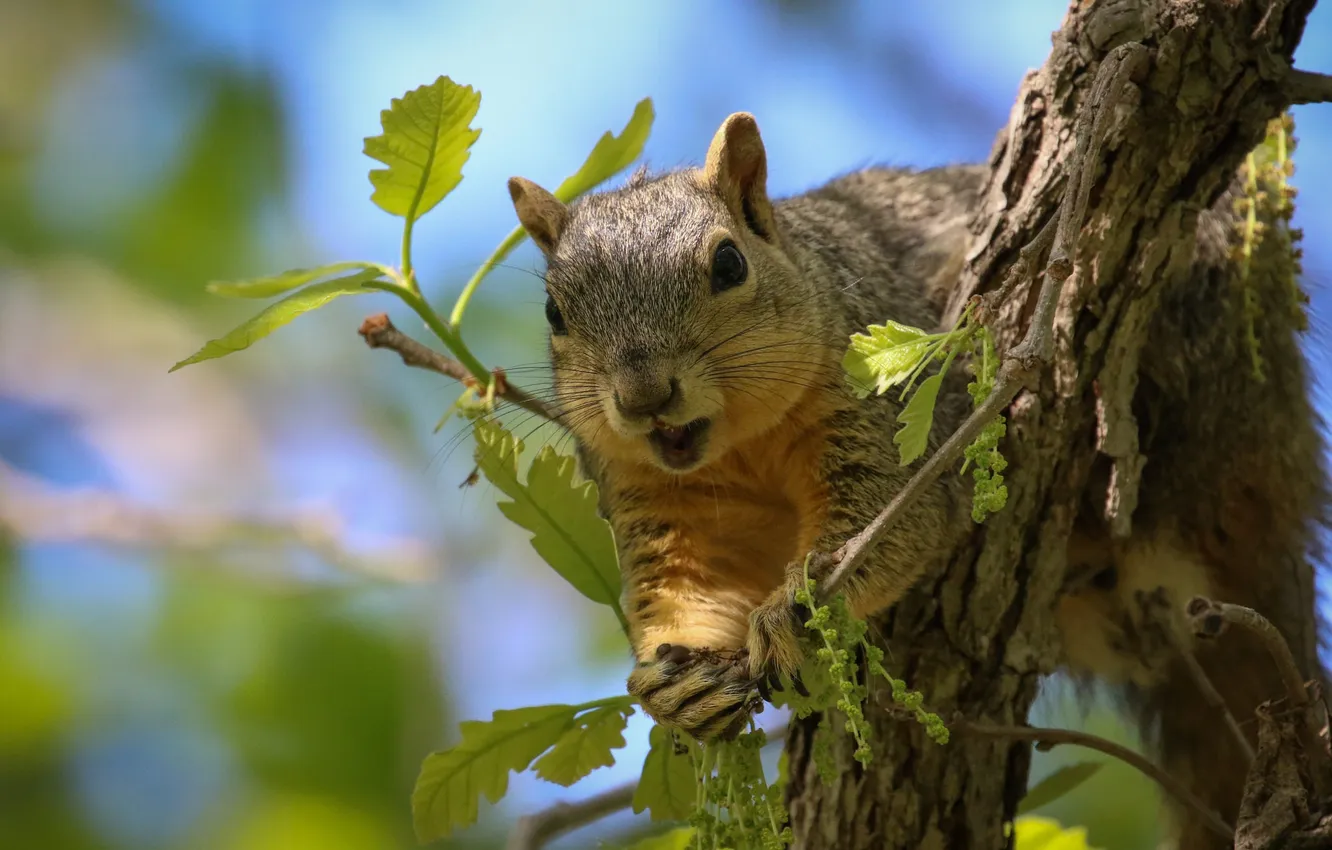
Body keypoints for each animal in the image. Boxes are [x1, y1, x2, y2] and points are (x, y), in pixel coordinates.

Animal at [506, 114, 1321, 850]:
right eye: (553, 311)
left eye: (729, 264)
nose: (643, 397)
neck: (735, 447)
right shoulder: (652, 498)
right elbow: (685, 589)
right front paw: (677, 684)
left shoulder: (878, 409)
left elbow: (899, 517)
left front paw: (798, 609)